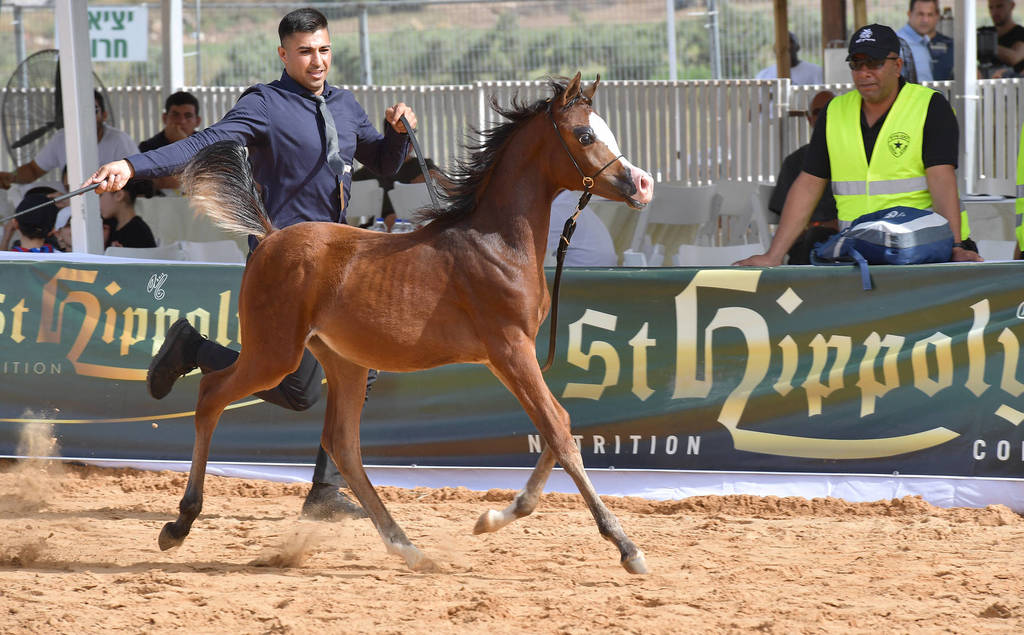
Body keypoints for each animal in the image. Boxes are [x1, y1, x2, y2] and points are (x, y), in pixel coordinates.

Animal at [162, 73, 655, 574]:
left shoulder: (514, 355)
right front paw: (626, 546)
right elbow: (558, 429)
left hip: (343, 361)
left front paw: (495, 517)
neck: (496, 242)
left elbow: (558, 424)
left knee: (343, 445)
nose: (642, 184)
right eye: (585, 135)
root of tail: (269, 236)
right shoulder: (510, 349)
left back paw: (408, 547)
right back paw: (179, 519)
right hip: (275, 353)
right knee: (212, 395)